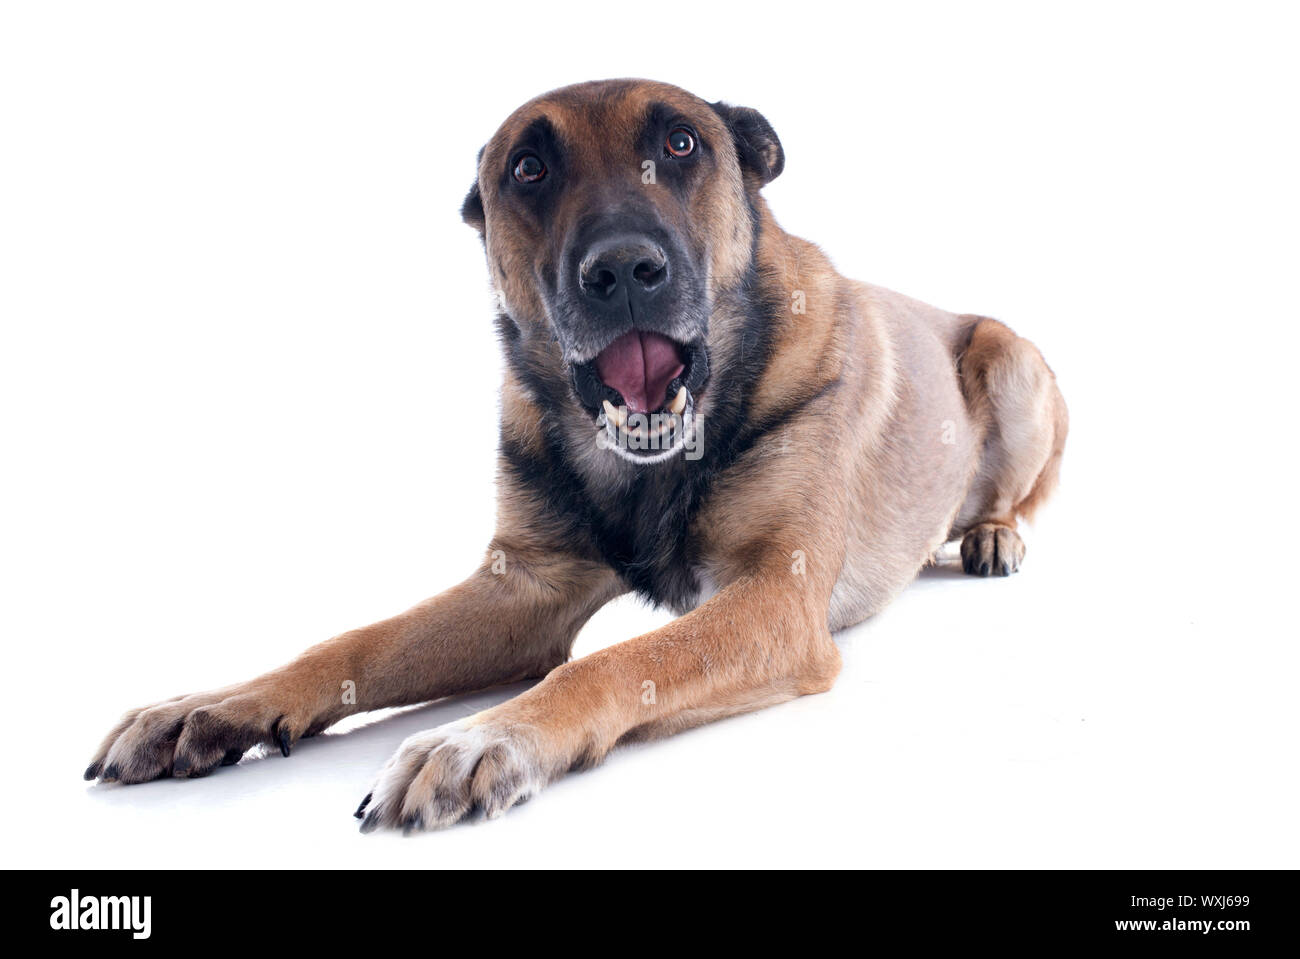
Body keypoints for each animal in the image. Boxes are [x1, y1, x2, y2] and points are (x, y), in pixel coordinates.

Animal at [86, 82, 1071, 831]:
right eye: (529, 168)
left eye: (681, 143)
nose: (624, 269)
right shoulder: (525, 589)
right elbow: (355, 641)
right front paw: (212, 704)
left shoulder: (775, 600)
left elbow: (614, 661)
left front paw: (483, 737)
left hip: (1011, 361)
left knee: (1016, 494)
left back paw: (992, 535)